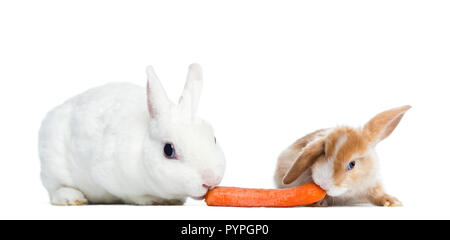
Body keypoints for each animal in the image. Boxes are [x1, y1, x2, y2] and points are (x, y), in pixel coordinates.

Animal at [39, 64, 225, 206]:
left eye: (214, 138)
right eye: (168, 150)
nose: (211, 180)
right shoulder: (111, 177)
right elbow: (136, 196)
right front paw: (158, 201)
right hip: (52, 165)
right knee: (55, 189)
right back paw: (71, 198)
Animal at [274, 105, 412, 206]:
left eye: (352, 164)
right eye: (323, 153)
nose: (323, 184)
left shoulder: (371, 184)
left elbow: (377, 193)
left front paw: (391, 202)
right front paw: (318, 203)